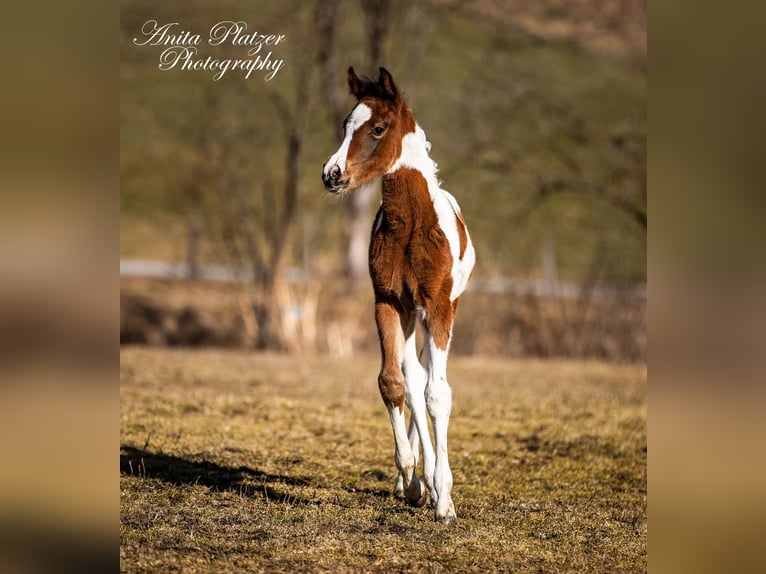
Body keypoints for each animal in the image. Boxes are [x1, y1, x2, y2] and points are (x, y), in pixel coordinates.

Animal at [322, 67, 476, 528]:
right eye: (345, 125)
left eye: (377, 128)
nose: (332, 174)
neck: (411, 227)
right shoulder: (388, 302)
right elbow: (394, 383)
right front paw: (411, 480)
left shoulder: (438, 308)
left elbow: (438, 396)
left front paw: (444, 501)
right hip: (410, 316)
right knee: (414, 378)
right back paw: (416, 483)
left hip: (436, 313)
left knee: (427, 383)